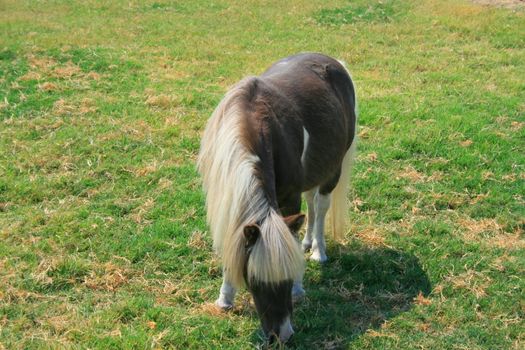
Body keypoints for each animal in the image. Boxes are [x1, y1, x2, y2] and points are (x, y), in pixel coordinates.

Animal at [196, 53, 356, 344]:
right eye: (255, 280)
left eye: (287, 276)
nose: (281, 335)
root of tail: (332, 61)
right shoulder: (226, 200)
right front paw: (225, 299)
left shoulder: (289, 196)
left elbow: (291, 233)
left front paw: (298, 287)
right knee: (310, 205)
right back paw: (307, 244)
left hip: (333, 171)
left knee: (320, 207)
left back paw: (318, 251)